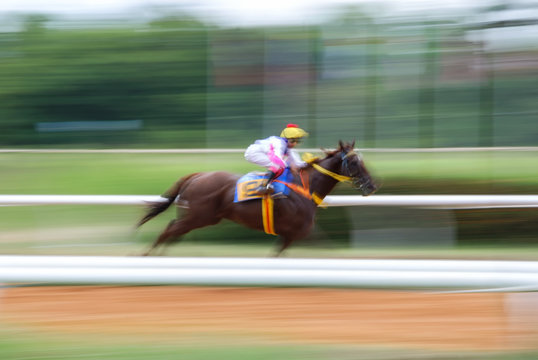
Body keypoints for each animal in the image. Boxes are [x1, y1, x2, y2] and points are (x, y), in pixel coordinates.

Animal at [136, 140, 374, 256]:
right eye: (354, 162)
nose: (372, 185)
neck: (305, 187)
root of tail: (196, 176)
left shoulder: (295, 233)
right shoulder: (295, 231)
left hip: (198, 218)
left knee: (173, 231)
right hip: (198, 217)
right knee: (169, 230)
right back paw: (148, 254)